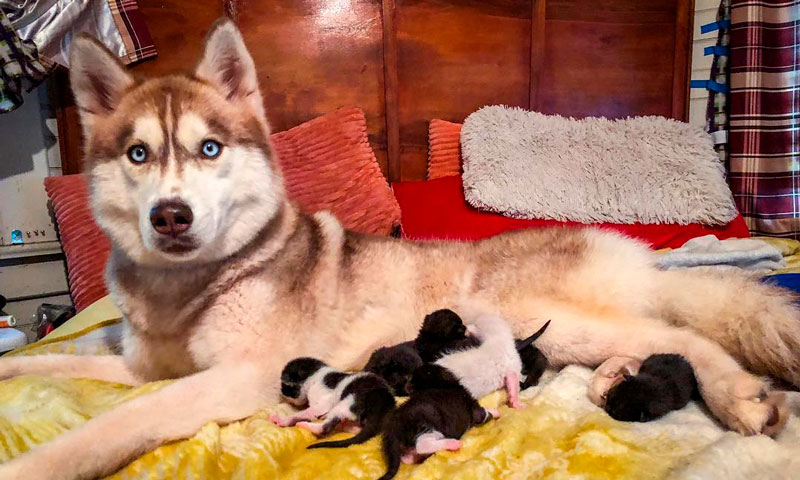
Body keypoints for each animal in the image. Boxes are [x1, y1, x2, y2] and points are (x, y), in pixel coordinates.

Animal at [0, 17, 792, 480]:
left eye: (209, 149)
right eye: (138, 153)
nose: (171, 217)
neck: (186, 289)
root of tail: (624, 244)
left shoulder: (239, 377)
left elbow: (119, 423)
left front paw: (41, 464)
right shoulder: (141, 367)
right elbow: (64, 362)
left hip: (548, 316)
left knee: (681, 334)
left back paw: (739, 395)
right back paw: (615, 380)